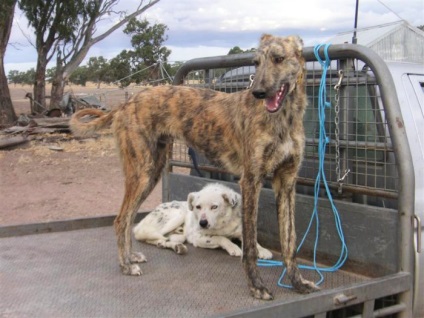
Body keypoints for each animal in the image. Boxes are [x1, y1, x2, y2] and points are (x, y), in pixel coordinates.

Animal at [132, 183, 274, 260]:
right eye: (198, 207)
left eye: (214, 207)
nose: (203, 223)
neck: (221, 224)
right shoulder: (197, 237)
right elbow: (220, 238)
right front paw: (233, 247)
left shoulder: (240, 231)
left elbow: (253, 240)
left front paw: (262, 250)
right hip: (178, 215)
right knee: (148, 237)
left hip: (179, 235)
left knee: (164, 240)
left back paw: (174, 246)